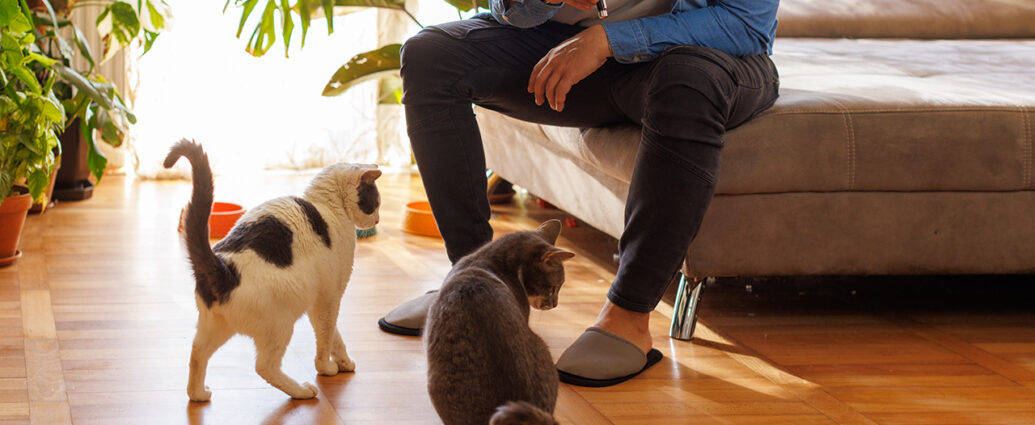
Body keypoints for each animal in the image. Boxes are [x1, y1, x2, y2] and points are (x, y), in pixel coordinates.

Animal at [163, 139, 381, 401]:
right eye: (375, 203)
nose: (378, 220)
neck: (326, 205)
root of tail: (224, 269)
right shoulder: (329, 298)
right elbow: (327, 336)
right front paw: (327, 368)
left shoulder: (318, 301)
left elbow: (335, 335)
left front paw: (344, 362)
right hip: (281, 325)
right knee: (265, 367)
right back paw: (302, 390)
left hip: (215, 326)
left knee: (197, 352)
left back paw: (198, 393)